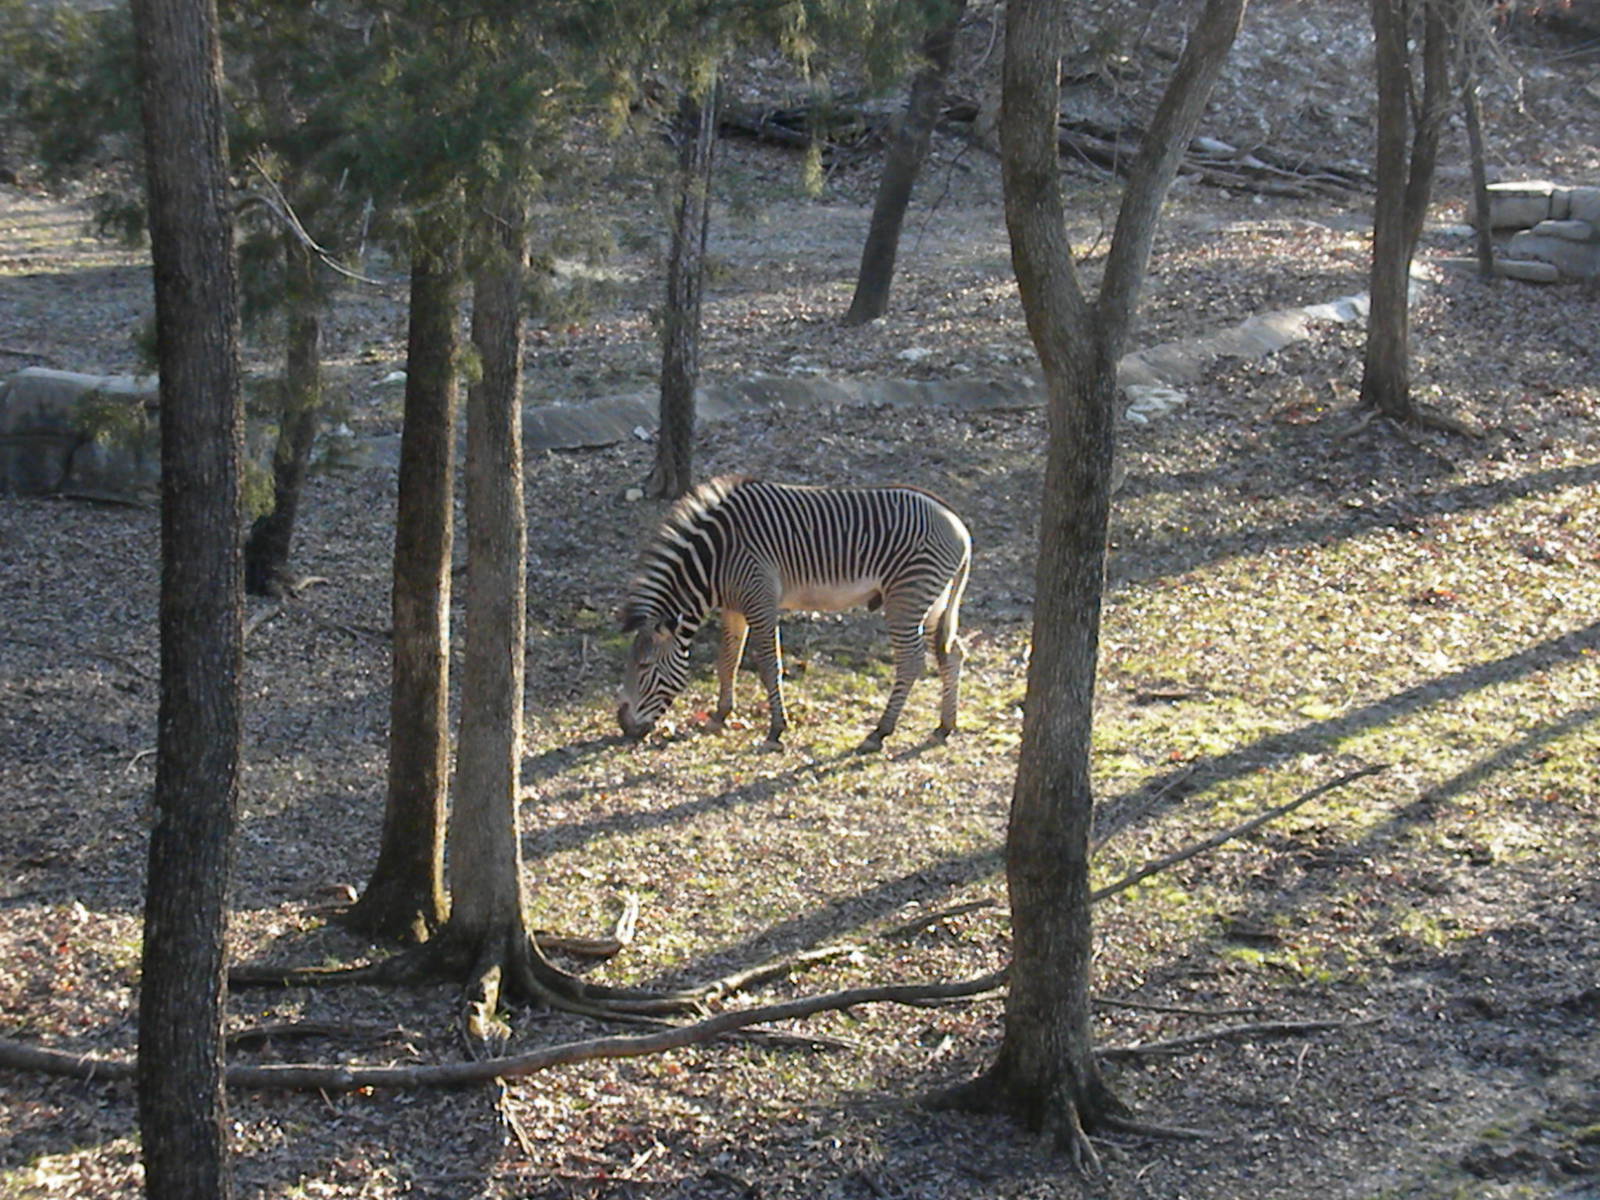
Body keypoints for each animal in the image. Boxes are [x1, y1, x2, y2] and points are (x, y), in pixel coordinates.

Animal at [617, 476, 972, 752]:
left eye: (645, 666)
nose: (624, 726)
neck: (716, 557)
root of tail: (960, 528)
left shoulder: (761, 601)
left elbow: (769, 666)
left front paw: (776, 729)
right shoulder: (734, 607)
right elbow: (727, 661)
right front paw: (721, 714)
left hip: (906, 598)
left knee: (912, 660)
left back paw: (880, 732)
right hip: (933, 600)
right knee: (952, 652)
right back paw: (945, 725)